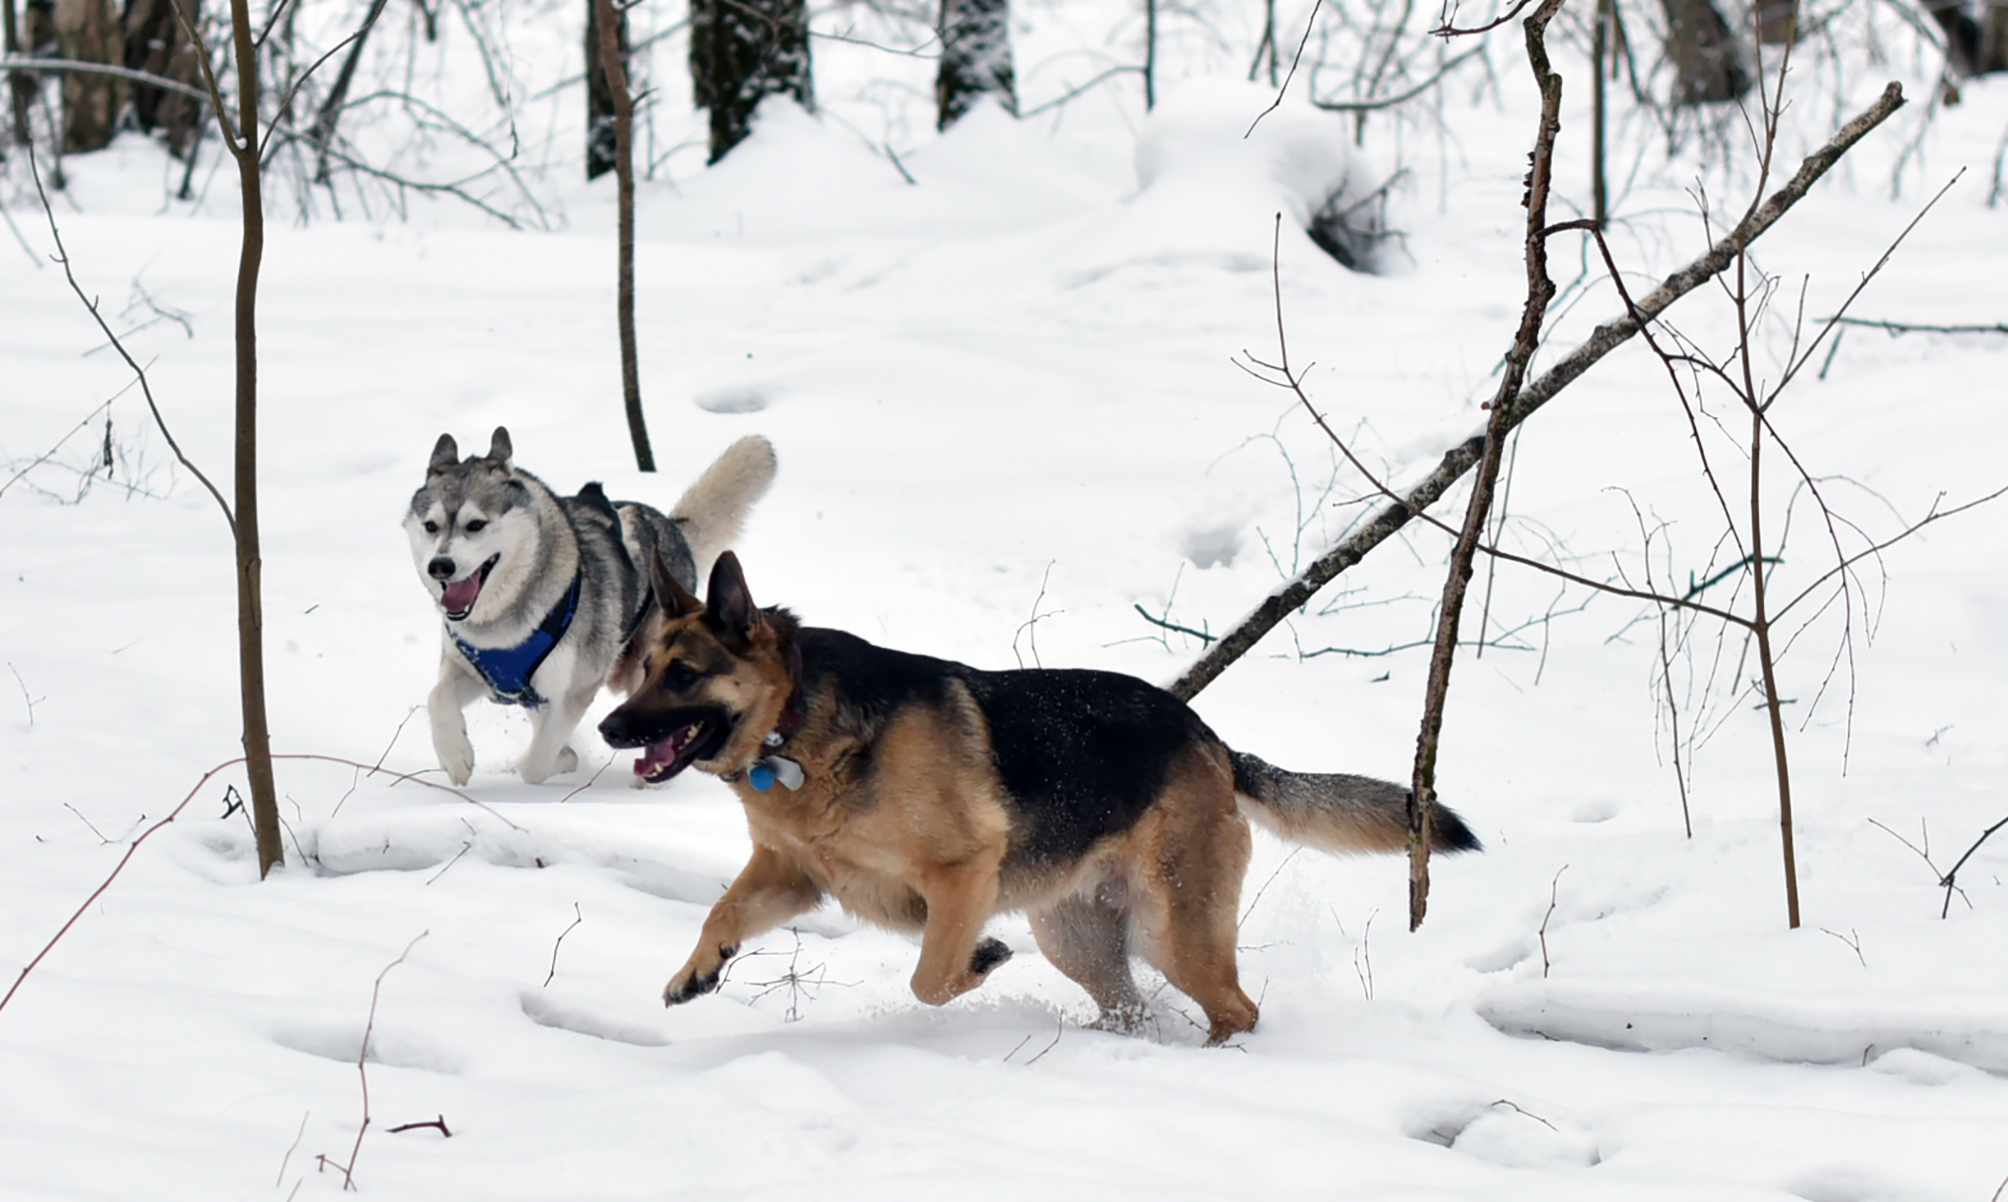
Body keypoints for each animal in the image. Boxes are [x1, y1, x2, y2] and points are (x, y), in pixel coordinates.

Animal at [407, 427, 775, 786]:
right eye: (430, 526)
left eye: (475, 525)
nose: (440, 566)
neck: (503, 626)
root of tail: (672, 529)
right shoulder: (479, 673)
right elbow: (437, 697)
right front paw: (455, 756)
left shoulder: (575, 689)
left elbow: (537, 765)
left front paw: (556, 761)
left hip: (643, 670)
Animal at [594, 553, 1477, 1043]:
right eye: (642, 668)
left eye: (685, 675)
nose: (608, 727)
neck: (796, 725)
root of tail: (1212, 742)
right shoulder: (791, 872)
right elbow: (722, 911)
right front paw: (696, 971)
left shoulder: (960, 875)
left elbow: (930, 977)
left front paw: (981, 959)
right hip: (1079, 939)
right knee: (1130, 1008)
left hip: (1173, 931)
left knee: (1237, 1009)